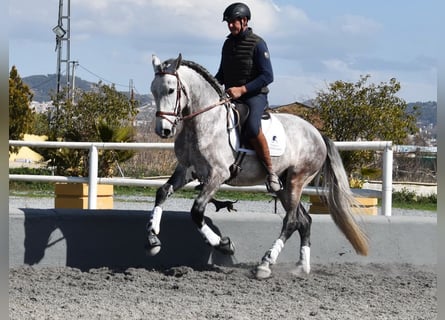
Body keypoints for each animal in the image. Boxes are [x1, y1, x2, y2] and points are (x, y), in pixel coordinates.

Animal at [147, 53, 368, 278]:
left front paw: (224, 244)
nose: (163, 130)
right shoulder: (187, 169)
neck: (204, 122)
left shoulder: (217, 174)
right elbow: (162, 192)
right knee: (304, 220)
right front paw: (153, 238)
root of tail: (318, 134)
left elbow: (197, 210)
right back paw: (301, 267)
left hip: (297, 179)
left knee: (291, 221)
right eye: (153, 90)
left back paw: (266, 263)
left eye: (171, 90)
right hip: (283, 185)